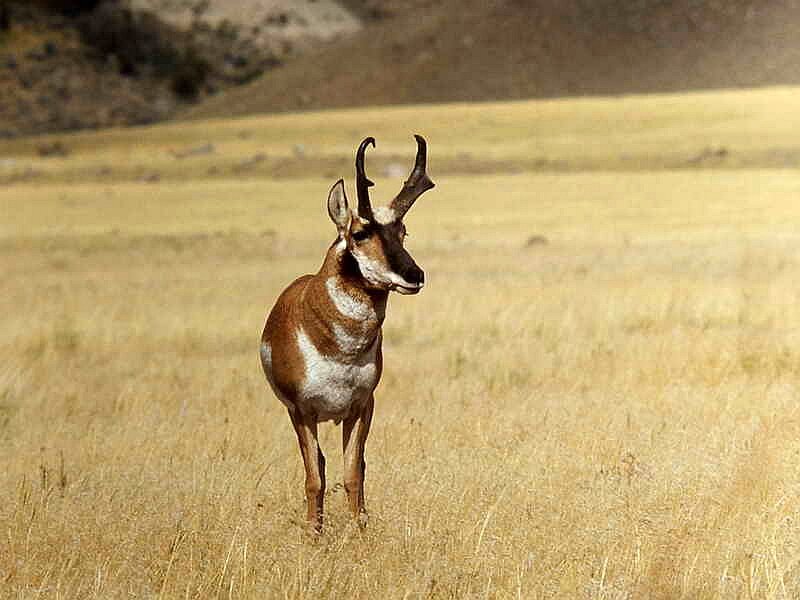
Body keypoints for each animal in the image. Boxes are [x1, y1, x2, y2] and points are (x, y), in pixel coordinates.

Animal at [260, 135, 434, 531]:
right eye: (360, 233)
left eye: (402, 232)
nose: (415, 275)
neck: (340, 349)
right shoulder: (302, 412)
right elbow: (314, 478)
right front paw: (314, 534)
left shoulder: (361, 407)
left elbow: (354, 472)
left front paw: (359, 530)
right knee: (320, 467)